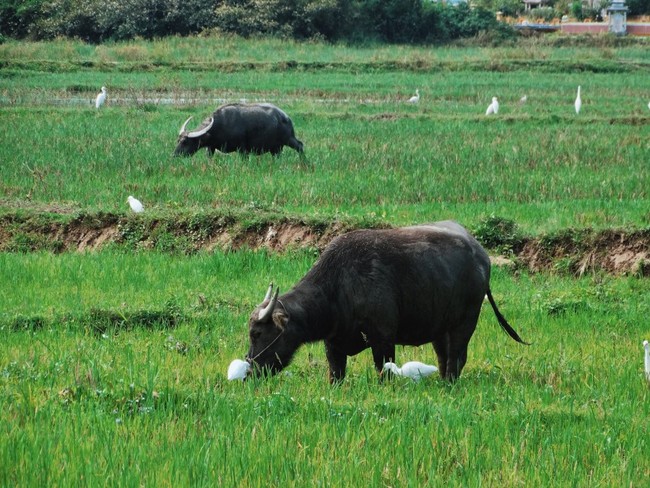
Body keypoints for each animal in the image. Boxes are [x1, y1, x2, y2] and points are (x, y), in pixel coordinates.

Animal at [172, 102, 304, 157]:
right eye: (178, 141)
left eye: (185, 142)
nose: (175, 155)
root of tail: (285, 117)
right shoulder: (210, 148)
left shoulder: (242, 148)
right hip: (276, 148)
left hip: (289, 139)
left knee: (300, 145)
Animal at [244, 219, 528, 384]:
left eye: (257, 333)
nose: (249, 370)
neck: (338, 288)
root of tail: (481, 257)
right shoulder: (333, 344)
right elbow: (336, 374)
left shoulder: (383, 339)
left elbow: (384, 370)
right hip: (440, 329)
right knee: (444, 356)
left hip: (466, 321)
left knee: (457, 357)